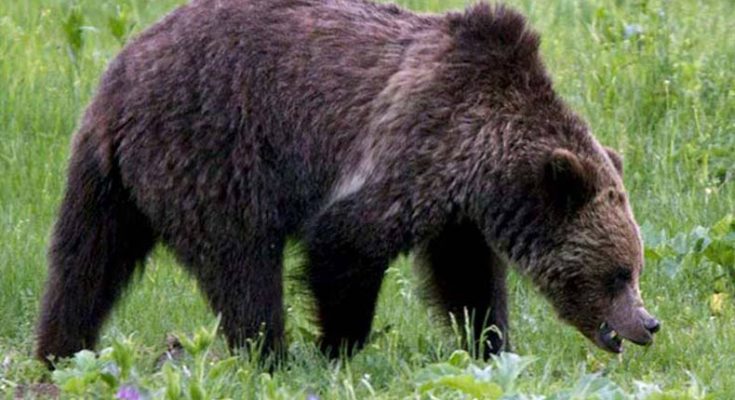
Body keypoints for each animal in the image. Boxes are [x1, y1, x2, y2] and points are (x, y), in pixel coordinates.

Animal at [34, 0, 660, 364]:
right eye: (617, 273)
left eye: (634, 268)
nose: (648, 324)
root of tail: (119, 80)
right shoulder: (415, 142)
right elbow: (345, 243)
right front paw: (339, 347)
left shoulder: (457, 207)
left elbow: (466, 277)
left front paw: (490, 344)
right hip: (211, 149)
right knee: (242, 265)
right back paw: (271, 355)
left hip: (109, 181)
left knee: (84, 263)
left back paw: (59, 351)